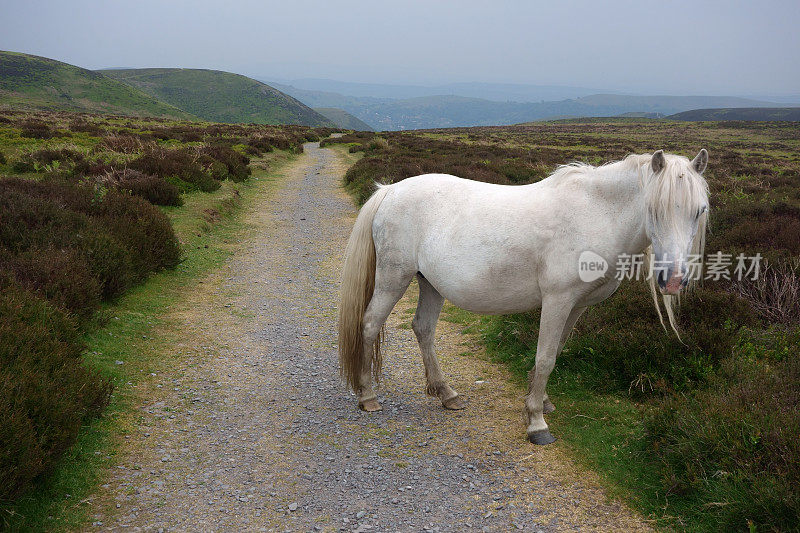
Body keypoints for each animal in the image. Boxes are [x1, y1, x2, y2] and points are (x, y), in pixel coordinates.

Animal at [336, 148, 708, 442]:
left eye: (700, 210)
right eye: (655, 209)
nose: (674, 280)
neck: (595, 214)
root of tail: (389, 191)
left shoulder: (576, 306)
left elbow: (556, 350)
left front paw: (541, 401)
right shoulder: (557, 300)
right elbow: (544, 357)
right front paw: (536, 422)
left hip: (430, 283)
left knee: (423, 329)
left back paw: (446, 393)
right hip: (393, 278)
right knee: (370, 324)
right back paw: (368, 396)